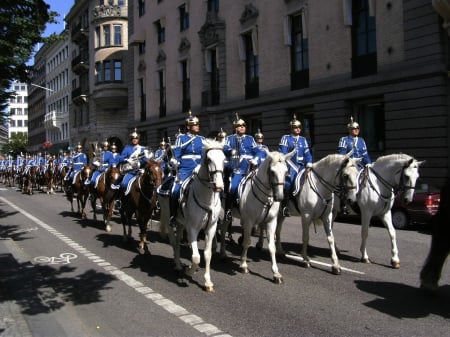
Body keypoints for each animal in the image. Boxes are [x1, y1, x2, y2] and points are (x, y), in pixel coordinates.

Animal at [158, 139, 225, 292]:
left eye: (224, 159)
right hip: (168, 217)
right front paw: (190, 270)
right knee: (173, 241)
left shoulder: (210, 228)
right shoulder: (193, 228)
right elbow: (195, 257)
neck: (207, 197)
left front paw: (208, 282)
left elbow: (207, 254)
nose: (219, 186)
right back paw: (178, 265)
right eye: (209, 159)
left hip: (181, 223)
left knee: (177, 241)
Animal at [239, 151, 292, 282]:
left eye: (286, 171)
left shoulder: (271, 222)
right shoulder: (249, 221)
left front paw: (276, 273)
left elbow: (272, 247)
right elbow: (247, 242)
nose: (280, 197)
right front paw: (243, 265)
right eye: (272, 172)